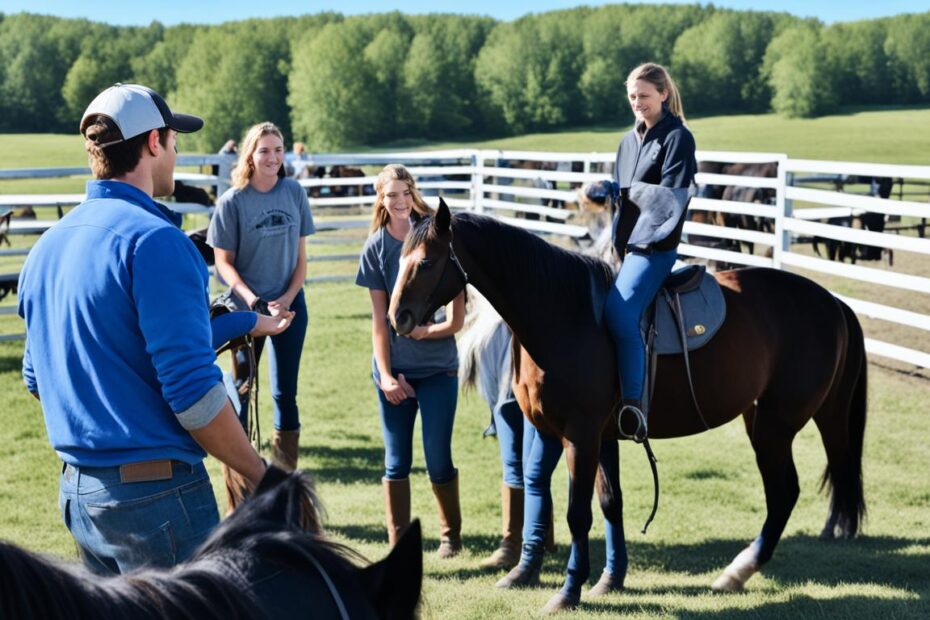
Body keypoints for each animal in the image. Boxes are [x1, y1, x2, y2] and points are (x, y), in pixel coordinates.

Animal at [388, 201, 868, 612]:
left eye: (426, 262)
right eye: (400, 258)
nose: (398, 318)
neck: (564, 314)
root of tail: (832, 302)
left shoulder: (580, 436)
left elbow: (577, 513)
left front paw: (568, 592)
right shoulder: (583, 434)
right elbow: (605, 502)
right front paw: (605, 581)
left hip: (775, 426)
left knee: (783, 493)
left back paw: (738, 571)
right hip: (794, 417)